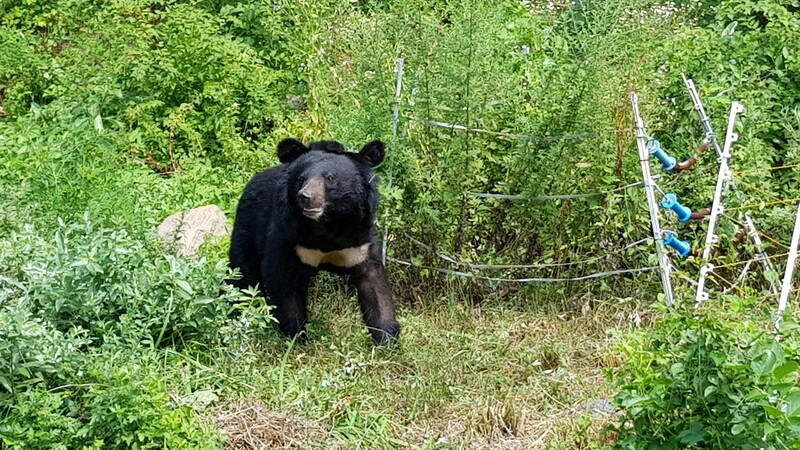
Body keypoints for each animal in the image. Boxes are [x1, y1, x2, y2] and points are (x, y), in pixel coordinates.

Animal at [227, 139, 400, 346]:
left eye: (330, 178)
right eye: (302, 179)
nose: (305, 197)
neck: (328, 225)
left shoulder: (360, 241)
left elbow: (374, 286)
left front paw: (386, 339)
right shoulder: (289, 236)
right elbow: (284, 281)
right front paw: (296, 336)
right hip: (248, 227)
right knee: (243, 274)